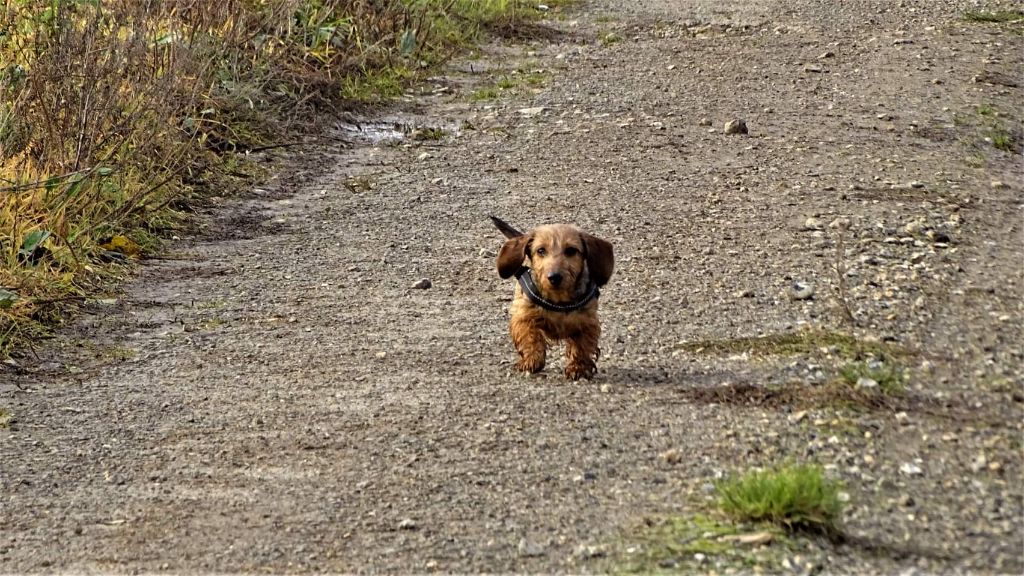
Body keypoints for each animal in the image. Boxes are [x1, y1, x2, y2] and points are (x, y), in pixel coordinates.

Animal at [489, 214, 610, 377]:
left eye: (571, 250)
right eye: (541, 250)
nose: (554, 277)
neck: (558, 299)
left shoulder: (587, 322)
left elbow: (582, 345)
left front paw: (578, 367)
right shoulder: (523, 317)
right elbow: (530, 337)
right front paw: (532, 360)